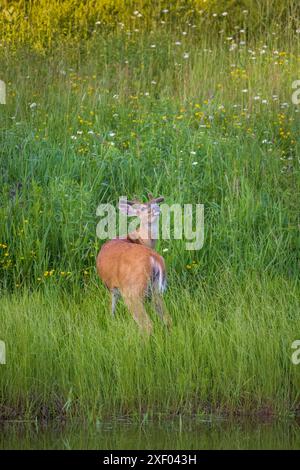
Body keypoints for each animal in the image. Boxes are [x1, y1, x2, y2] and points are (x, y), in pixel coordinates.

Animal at [96, 194, 171, 334]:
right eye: (142, 208)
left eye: (155, 204)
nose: (156, 209)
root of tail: (153, 257)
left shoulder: (113, 287)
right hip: (156, 290)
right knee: (167, 319)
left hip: (132, 291)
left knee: (147, 325)